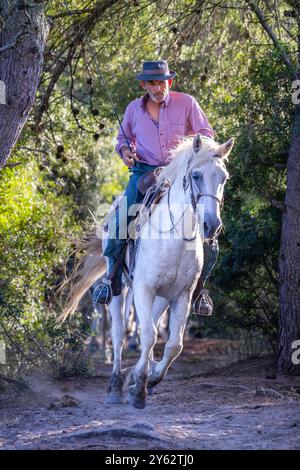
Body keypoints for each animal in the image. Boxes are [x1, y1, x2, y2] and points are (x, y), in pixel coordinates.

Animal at [61, 133, 234, 408]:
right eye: (196, 175)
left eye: (224, 177)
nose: (211, 225)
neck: (175, 237)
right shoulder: (143, 289)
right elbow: (149, 336)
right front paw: (138, 389)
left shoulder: (182, 296)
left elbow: (174, 344)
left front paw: (148, 379)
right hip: (119, 291)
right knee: (119, 333)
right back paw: (115, 385)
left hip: (161, 298)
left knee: (150, 327)